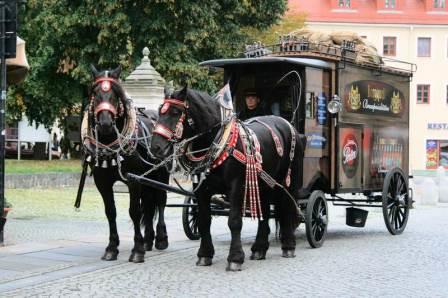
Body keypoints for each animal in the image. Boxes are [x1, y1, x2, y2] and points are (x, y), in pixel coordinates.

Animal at [83, 66, 169, 264]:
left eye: (115, 95)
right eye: (95, 94)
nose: (105, 124)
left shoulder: (133, 180)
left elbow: (134, 211)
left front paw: (137, 250)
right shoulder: (102, 182)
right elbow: (110, 212)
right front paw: (112, 248)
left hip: (161, 173)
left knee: (161, 200)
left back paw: (160, 239)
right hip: (147, 177)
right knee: (149, 202)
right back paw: (148, 240)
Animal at [150, 87, 304, 272]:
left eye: (175, 112)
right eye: (160, 111)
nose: (155, 147)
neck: (218, 144)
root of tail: (287, 125)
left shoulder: (235, 186)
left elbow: (234, 221)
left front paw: (235, 258)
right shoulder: (201, 190)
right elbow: (203, 220)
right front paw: (205, 254)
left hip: (289, 180)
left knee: (288, 208)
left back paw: (288, 246)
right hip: (264, 183)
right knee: (265, 212)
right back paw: (259, 248)